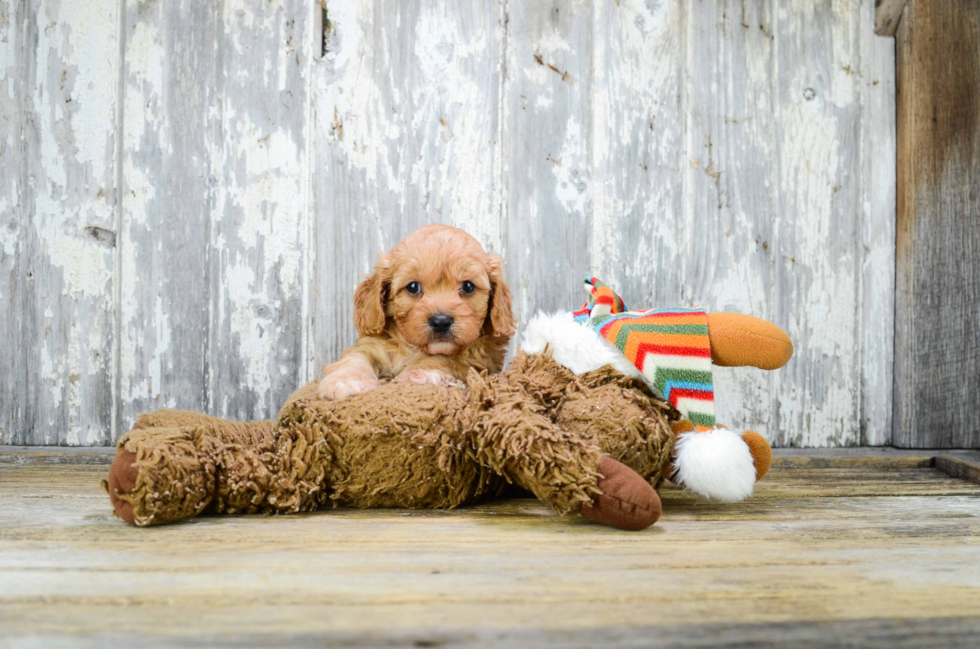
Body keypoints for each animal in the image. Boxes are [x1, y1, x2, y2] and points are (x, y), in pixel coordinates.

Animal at [318, 228, 516, 400]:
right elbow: (355, 358)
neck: (414, 348)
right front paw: (346, 381)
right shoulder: (372, 345)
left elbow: (444, 359)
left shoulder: (481, 359)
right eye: (413, 287)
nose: (441, 321)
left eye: (468, 286)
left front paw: (422, 372)